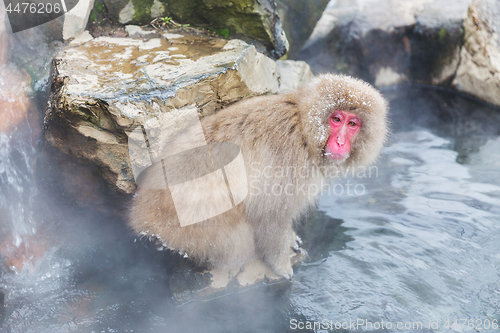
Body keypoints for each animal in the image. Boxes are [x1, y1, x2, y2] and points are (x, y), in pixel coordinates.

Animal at [128, 73, 386, 278]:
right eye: (336, 119)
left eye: (352, 124)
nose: (341, 142)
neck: (304, 127)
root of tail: (141, 215)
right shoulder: (290, 162)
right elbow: (270, 213)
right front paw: (280, 264)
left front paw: (290, 238)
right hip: (192, 231)